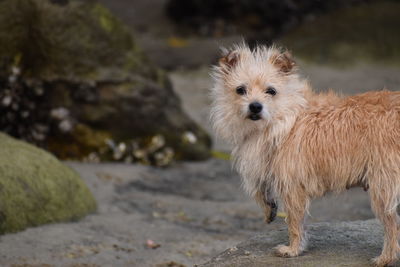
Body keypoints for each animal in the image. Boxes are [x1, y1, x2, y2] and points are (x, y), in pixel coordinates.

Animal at [209, 45, 400, 266]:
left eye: (271, 91)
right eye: (240, 90)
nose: (255, 106)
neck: (285, 118)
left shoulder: (292, 187)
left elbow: (295, 222)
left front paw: (292, 250)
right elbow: (261, 191)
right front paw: (268, 209)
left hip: (382, 188)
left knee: (392, 225)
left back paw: (385, 258)